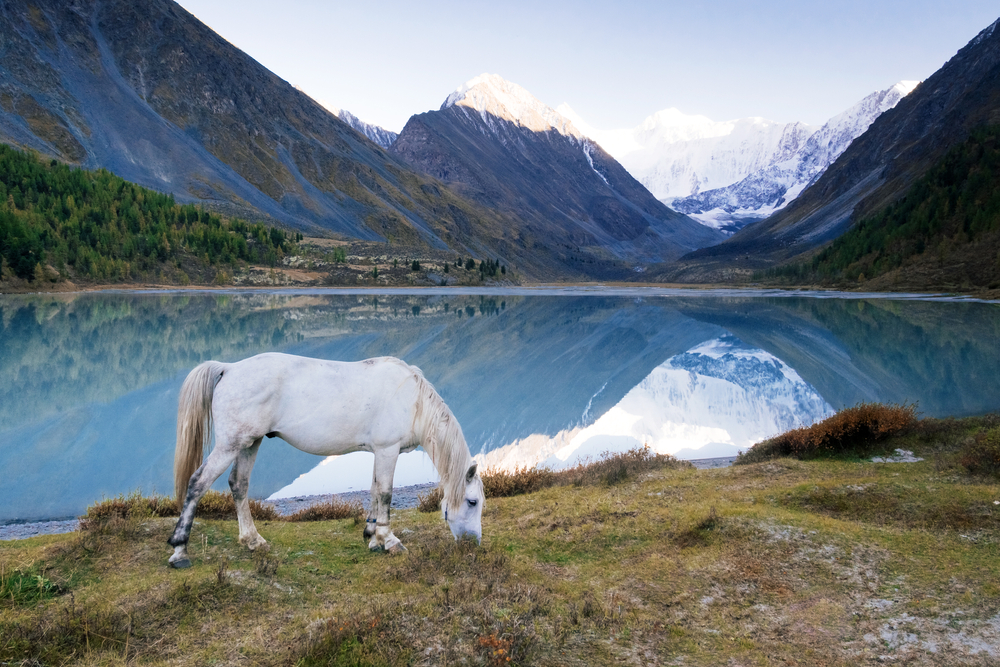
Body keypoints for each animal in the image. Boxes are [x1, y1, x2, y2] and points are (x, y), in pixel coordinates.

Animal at [165, 352, 484, 568]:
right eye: (472, 502)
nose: (473, 545)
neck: (412, 400)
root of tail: (229, 369)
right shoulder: (387, 450)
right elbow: (385, 493)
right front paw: (389, 540)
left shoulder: (379, 452)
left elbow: (373, 490)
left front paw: (372, 535)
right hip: (230, 445)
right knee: (198, 483)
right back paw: (180, 551)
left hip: (249, 443)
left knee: (238, 485)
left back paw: (253, 541)